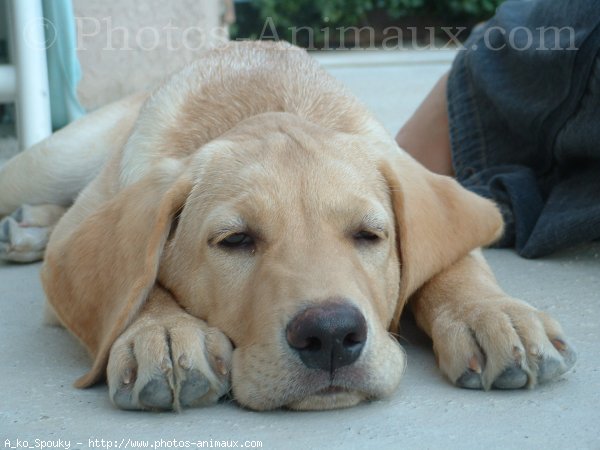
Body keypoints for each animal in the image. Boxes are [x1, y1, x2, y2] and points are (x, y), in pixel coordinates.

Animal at [0, 42, 576, 412]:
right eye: (235, 241)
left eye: (369, 235)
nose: (331, 336)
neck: (266, 97)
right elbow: (134, 282)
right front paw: (161, 332)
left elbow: (450, 263)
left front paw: (493, 315)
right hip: (51, 160)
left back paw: (27, 230)